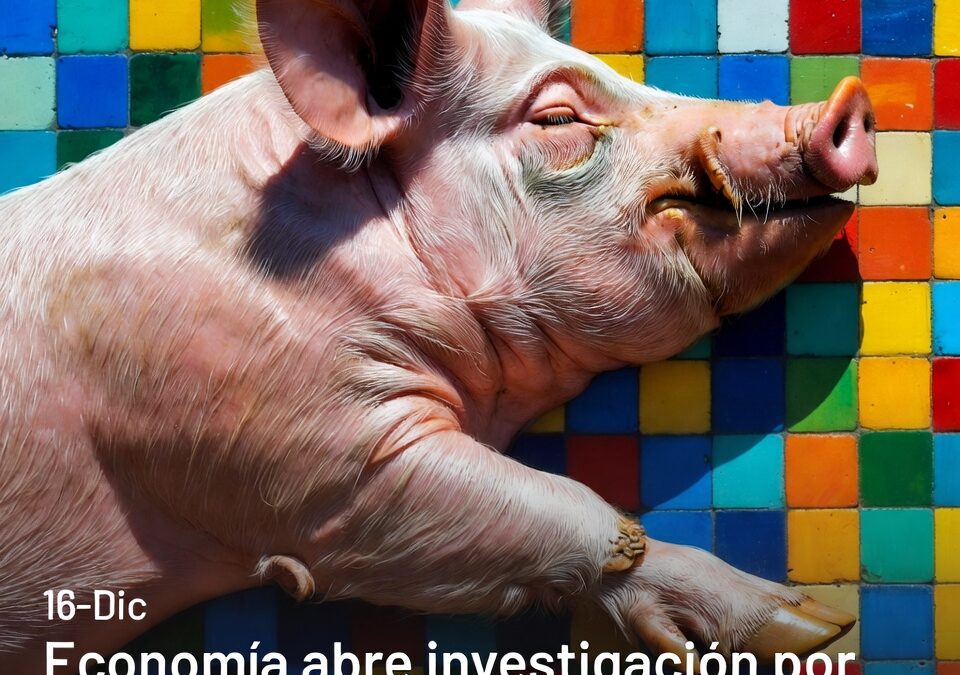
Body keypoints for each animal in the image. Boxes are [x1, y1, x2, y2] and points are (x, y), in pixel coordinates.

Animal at [0, 0, 878, 670]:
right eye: (557, 116)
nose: (849, 103)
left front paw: (821, 626)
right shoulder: (284, 443)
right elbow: (556, 506)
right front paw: (811, 628)